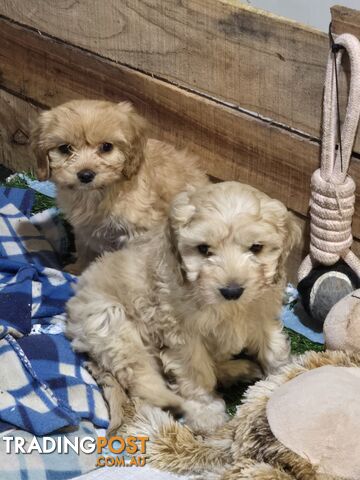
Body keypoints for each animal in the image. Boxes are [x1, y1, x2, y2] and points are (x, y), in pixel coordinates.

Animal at [33, 99, 208, 272]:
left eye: (106, 147)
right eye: (65, 148)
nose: (86, 175)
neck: (97, 194)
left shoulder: (139, 233)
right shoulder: (83, 229)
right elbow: (84, 250)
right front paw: (78, 269)